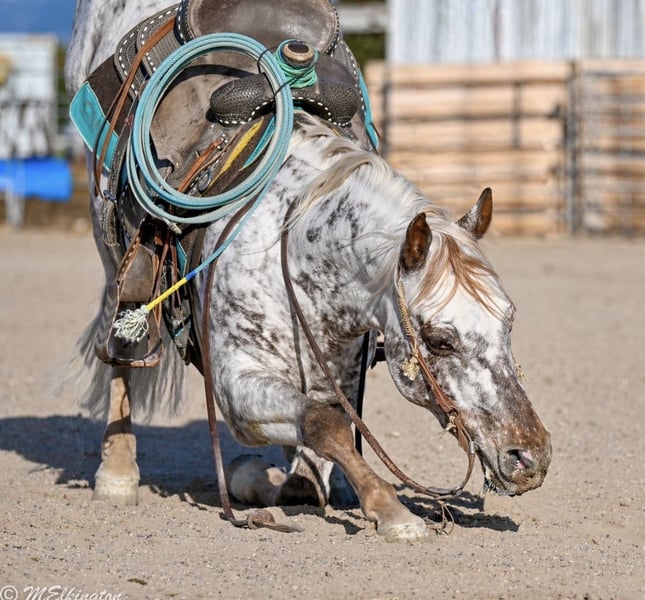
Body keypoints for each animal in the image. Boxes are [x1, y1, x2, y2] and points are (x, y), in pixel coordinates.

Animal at [65, 0, 551, 542]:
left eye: (509, 320)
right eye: (440, 340)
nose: (529, 456)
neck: (290, 246)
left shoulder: (337, 376)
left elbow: (313, 458)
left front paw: (277, 480)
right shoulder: (234, 384)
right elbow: (323, 425)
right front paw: (392, 510)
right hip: (110, 247)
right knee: (122, 340)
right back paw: (117, 472)